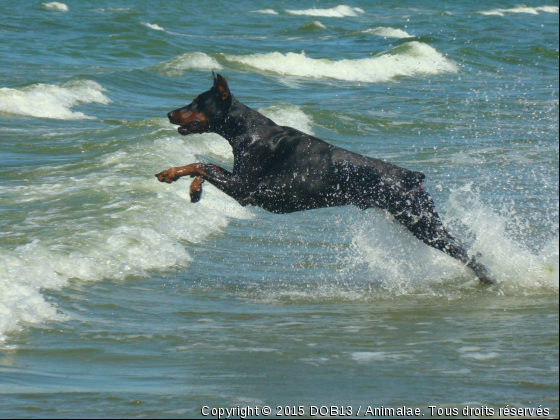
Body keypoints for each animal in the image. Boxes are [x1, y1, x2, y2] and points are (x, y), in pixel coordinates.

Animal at [155, 74, 492, 286]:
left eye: (197, 102)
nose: (169, 113)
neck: (248, 131)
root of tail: (412, 176)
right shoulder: (240, 183)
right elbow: (203, 167)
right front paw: (193, 190)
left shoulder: (245, 190)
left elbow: (201, 163)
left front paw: (170, 173)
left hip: (420, 220)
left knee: (467, 253)